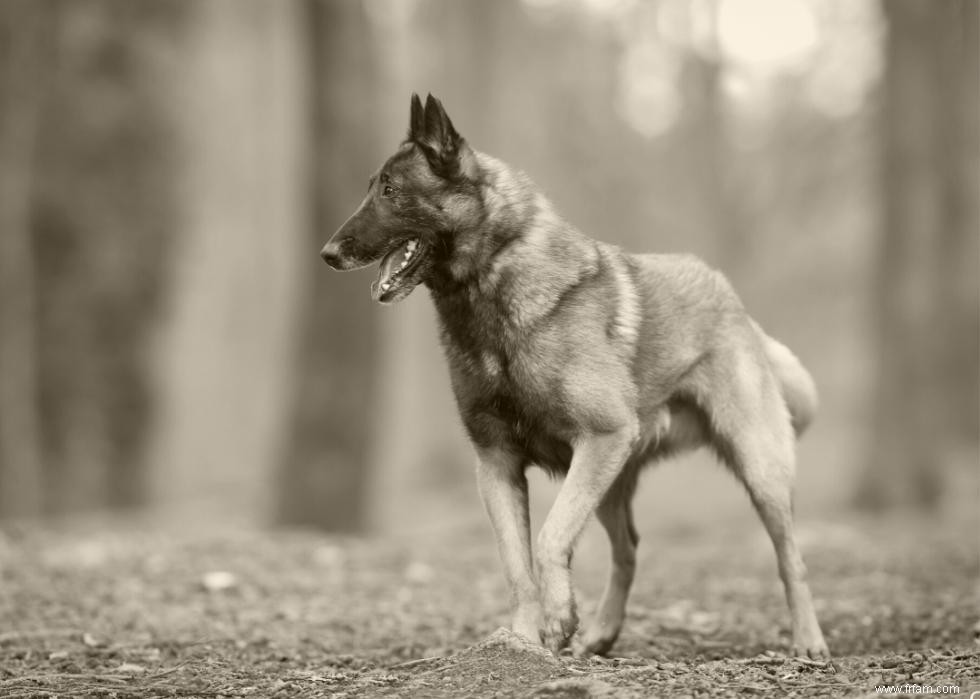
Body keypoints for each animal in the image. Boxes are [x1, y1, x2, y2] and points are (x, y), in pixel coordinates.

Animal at [322, 94, 828, 660]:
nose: (328, 253)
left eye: (390, 190)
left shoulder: (597, 439)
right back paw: (603, 633)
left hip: (755, 470)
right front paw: (522, 644)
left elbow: (548, 539)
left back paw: (809, 642)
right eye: (372, 187)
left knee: (791, 558)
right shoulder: (497, 465)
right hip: (609, 481)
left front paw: (559, 618)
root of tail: (732, 299)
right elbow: (516, 566)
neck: (492, 294)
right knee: (628, 550)